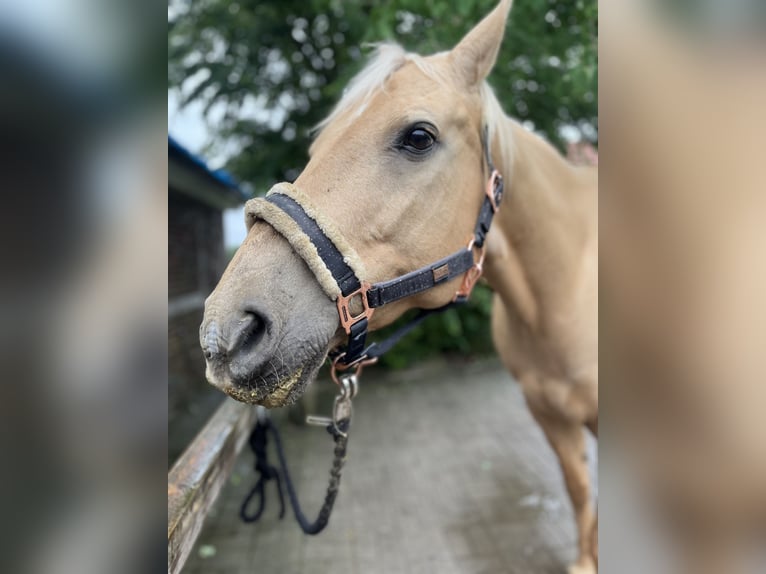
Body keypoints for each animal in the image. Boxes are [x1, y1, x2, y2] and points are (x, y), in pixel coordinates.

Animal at [202, 2, 600, 572]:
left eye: (418, 137)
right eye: (317, 147)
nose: (227, 333)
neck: (561, 292)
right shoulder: (551, 417)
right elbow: (580, 490)